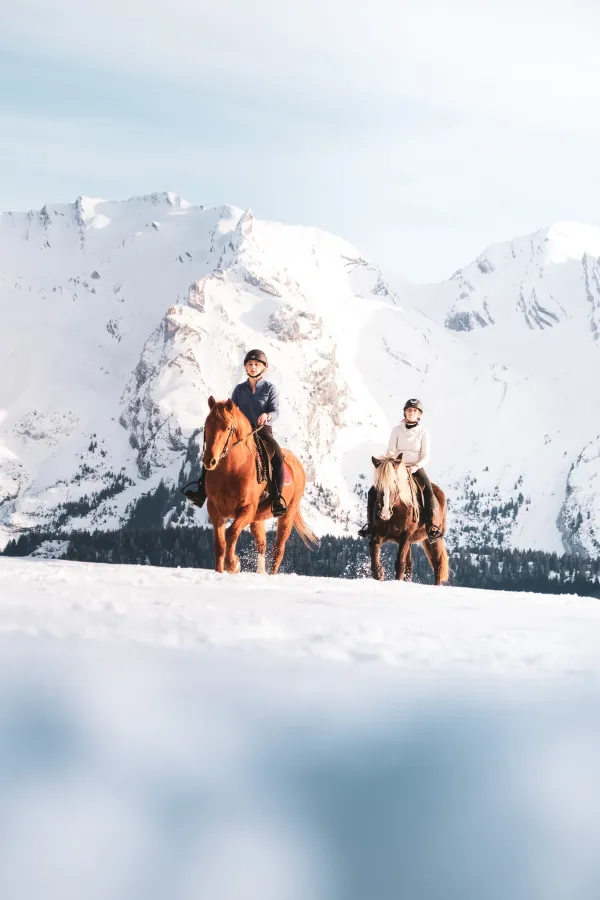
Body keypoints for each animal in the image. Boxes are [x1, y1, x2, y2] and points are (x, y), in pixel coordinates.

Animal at [201, 396, 319, 575]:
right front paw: (221, 570)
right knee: (262, 544)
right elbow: (220, 545)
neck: (232, 470)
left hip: (287, 515)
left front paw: (233, 564)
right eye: (207, 425)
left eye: (227, 427)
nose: (209, 460)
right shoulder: (215, 510)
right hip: (258, 519)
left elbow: (231, 532)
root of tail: (298, 465)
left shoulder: (247, 509)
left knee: (278, 549)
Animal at [369, 453, 449, 585]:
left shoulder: (405, 536)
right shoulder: (378, 532)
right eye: (378, 483)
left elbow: (399, 563)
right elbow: (374, 551)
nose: (384, 513)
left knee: (437, 564)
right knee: (410, 566)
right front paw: (379, 574)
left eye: (395, 481)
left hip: (435, 539)